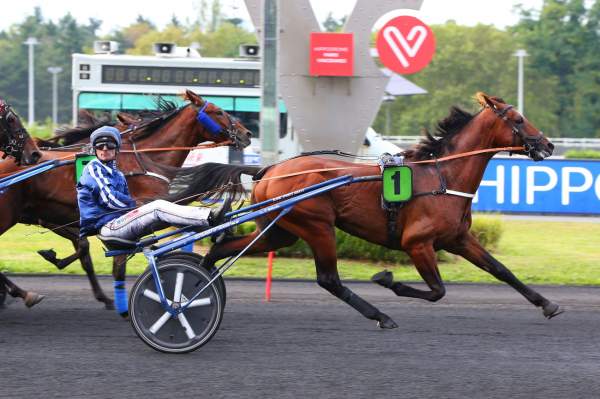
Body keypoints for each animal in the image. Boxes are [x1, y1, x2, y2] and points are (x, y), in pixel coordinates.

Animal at [0, 89, 252, 310]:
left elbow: (90, 251)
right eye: (218, 111)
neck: (144, 159)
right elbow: (106, 257)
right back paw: (23, 293)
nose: (246, 134)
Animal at [172, 93, 564, 328]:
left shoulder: (458, 239)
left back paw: (199, 285)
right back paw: (380, 315)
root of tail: (268, 169)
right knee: (328, 279)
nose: (548, 144)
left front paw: (548, 304)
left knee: (221, 248)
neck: (442, 175)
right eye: (518, 119)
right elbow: (437, 290)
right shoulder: (417, 243)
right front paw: (387, 279)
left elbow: (501, 270)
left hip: (280, 230)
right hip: (317, 225)